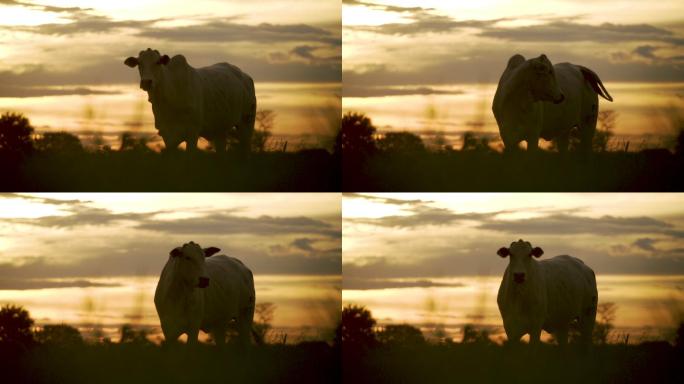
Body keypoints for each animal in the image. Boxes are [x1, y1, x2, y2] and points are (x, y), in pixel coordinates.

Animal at [123, 48, 256, 154]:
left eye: (158, 62)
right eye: (139, 63)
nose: (146, 82)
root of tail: (246, 77)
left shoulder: (192, 133)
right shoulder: (167, 135)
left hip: (246, 123)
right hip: (220, 130)